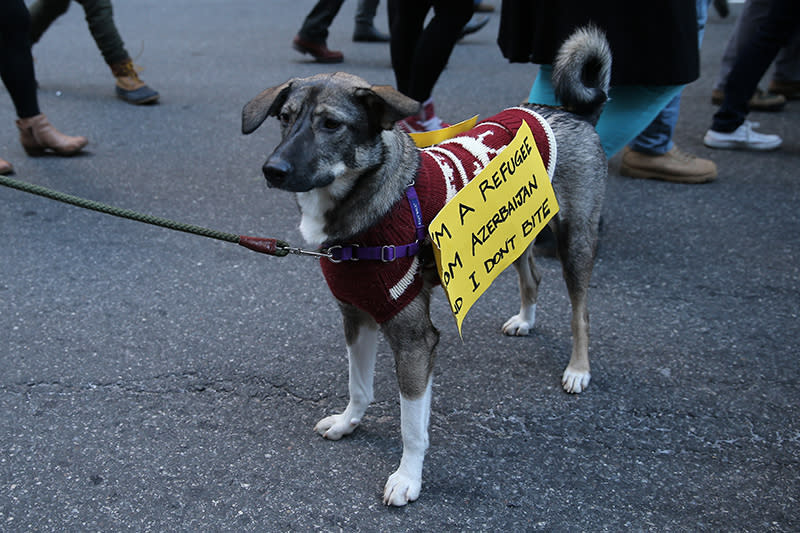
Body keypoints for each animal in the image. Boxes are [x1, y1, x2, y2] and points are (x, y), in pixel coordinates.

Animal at [241, 26, 608, 508]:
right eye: (284, 117)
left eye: (331, 124)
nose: (273, 169)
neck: (365, 207)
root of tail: (573, 112)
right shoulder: (356, 316)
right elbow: (360, 387)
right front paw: (348, 423)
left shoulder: (414, 338)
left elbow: (412, 426)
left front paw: (408, 477)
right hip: (519, 231)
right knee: (532, 276)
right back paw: (526, 320)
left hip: (576, 238)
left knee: (581, 311)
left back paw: (578, 369)